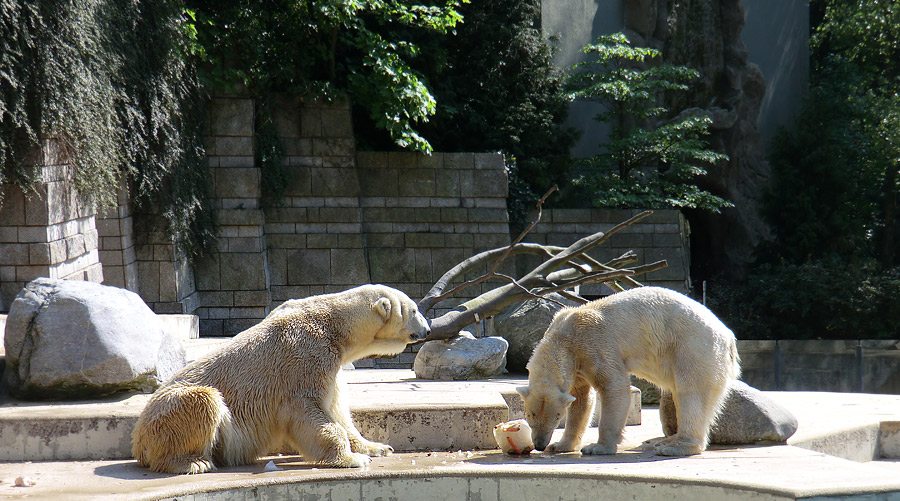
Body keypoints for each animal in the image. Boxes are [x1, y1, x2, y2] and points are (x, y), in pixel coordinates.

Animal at [130, 286, 432, 472]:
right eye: (415, 310)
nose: (428, 330)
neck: (334, 325)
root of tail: (138, 440)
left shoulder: (333, 365)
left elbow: (338, 410)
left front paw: (378, 447)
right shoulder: (306, 358)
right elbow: (310, 411)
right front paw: (352, 458)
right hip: (167, 414)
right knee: (202, 400)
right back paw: (192, 463)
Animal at [516, 284, 740, 456]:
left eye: (556, 417)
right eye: (530, 415)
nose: (540, 444)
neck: (564, 335)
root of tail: (728, 336)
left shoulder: (594, 345)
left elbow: (614, 387)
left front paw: (597, 447)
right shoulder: (576, 362)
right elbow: (581, 400)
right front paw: (561, 445)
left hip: (694, 346)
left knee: (691, 392)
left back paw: (675, 446)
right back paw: (667, 440)